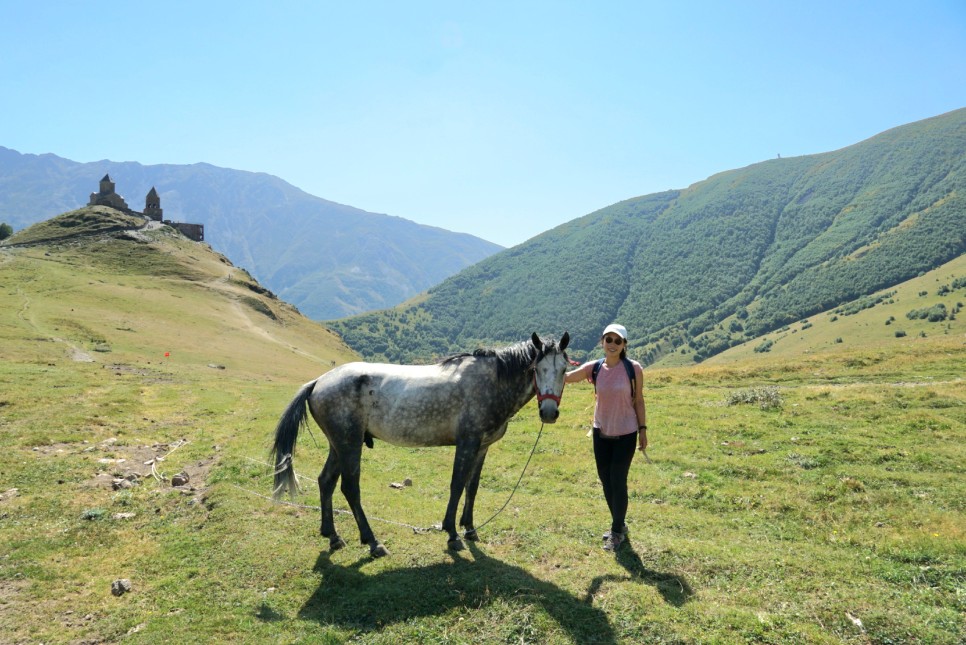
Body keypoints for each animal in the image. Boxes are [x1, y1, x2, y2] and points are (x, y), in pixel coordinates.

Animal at [270, 332, 576, 552]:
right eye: (537, 369)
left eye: (563, 369)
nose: (549, 413)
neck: (492, 381)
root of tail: (318, 381)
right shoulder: (467, 443)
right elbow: (457, 485)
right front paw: (452, 533)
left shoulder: (482, 447)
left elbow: (472, 487)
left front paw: (469, 528)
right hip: (349, 444)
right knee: (349, 488)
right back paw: (373, 542)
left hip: (339, 445)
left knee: (326, 482)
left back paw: (332, 536)